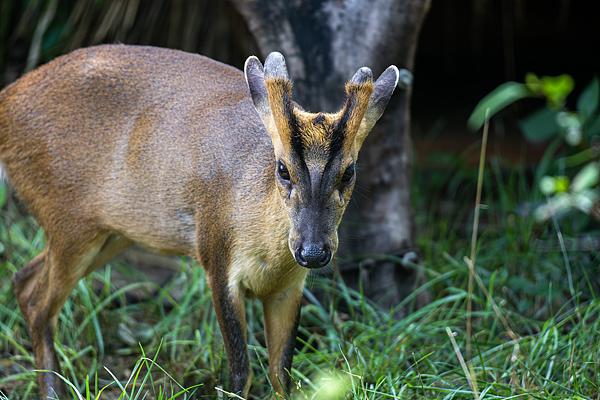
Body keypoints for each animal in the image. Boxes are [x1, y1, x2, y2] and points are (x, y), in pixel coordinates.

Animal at [1, 45, 404, 398]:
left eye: (349, 172)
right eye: (282, 169)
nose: (313, 252)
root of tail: (8, 98)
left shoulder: (289, 287)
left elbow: (281, 374)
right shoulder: (217, 258)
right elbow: (240, 373)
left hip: (109, 234)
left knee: (24, 281)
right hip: (67, 221)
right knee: (37, 300)